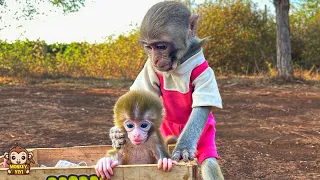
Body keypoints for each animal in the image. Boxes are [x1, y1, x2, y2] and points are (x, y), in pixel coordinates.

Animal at [110, 1, 225, 180]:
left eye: (161, 47)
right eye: (149, 47)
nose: (155, 59)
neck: (179, 65)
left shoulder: (205, 71)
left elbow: (202, 107)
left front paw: (184, 146)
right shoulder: (149, 68)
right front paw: (116, 133)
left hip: (205, 133)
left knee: (210, 162)